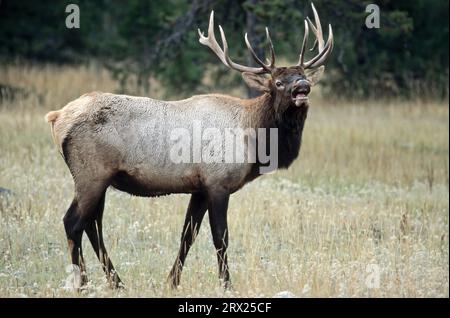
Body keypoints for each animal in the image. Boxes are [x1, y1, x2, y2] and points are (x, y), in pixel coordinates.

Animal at [45, 3, 332, 290]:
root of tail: (56, 118)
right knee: (73, 222)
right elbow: (220, 238)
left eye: (302, 75)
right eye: (278, 82)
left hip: (101, 178)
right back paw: (82, 283)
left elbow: (188, 235)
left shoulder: (200, 188)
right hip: (90, 173)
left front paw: (172, 281)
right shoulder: (218, 182)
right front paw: (226, 284)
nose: (303, 86)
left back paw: (117, 282)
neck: (254, 138)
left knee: (92, 225)